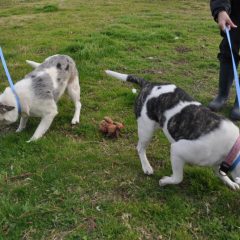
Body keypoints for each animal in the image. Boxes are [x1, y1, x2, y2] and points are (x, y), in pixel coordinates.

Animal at [106, 70, 240, 190]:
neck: (233, 148)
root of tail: (149, 84)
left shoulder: (217, 163)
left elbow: (221, 174)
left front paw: (230, 183)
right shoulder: (178, 150)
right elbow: (178, 177)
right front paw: (164, 181)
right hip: (146, 130)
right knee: (140, 148)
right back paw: (146, 166)